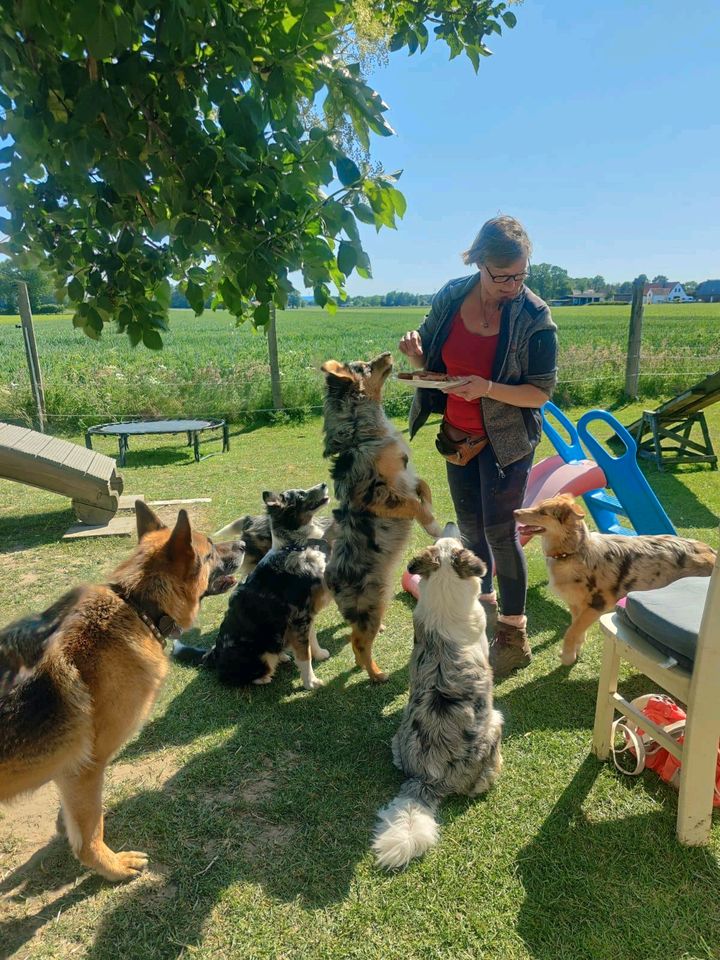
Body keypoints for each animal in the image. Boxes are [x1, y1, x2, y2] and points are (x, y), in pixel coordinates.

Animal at [0, 506, 242, 880]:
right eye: (211, 549)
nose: (245, 544)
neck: (140, 607)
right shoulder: (85, 769)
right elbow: (90, 832)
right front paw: (111, 867)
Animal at [173, 484, 334, 692]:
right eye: (300, 495)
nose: (323, 484)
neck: (295, 548)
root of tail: (213, 654)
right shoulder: (300, 618)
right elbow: (303, 656)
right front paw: (310, 682)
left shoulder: (307, 614)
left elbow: (311, 640)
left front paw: (319, 654)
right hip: (260, 656)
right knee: (234, 677)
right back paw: (266, 675)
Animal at [322, 352, 444, 684]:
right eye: (365, 367)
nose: (388, 354)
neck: (362, 434)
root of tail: (328, 576)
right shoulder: (374, 495)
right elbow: (413, 505)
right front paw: (431, 524)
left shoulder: (407, 476)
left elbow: (423, 487)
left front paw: (433, 514)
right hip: (370, 606)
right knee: (359, 641)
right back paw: (376, 674)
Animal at [374, 532, 504, 872]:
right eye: (457, 541)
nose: (449, 527)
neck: (445, 587)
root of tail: (428, 778)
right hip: (496, 722)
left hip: (398, 739)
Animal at [516, 496, 716, 668]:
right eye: (537, 507)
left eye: (543, 512)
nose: (515, 512)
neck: (572, 552)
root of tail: (712, 553)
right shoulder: (576, 605)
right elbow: (577, 630)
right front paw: (575, 653)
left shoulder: (597, 605)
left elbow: (570, 632)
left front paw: (567, 658)